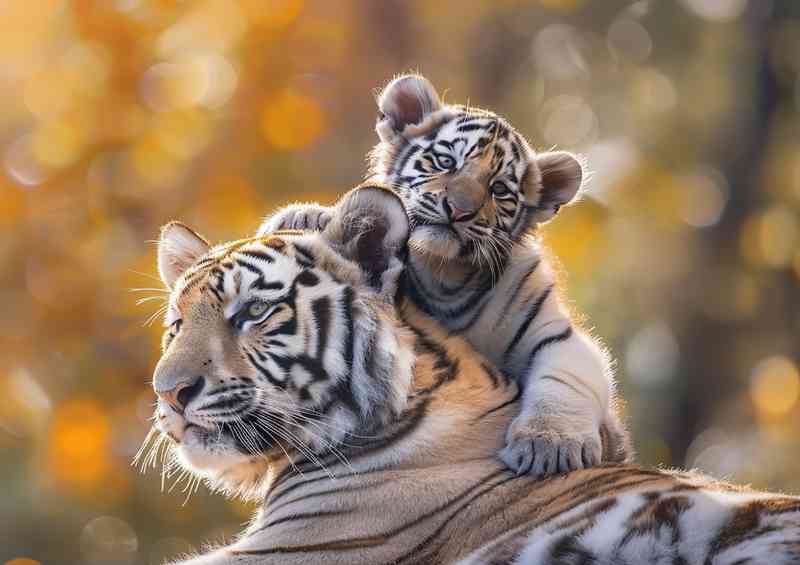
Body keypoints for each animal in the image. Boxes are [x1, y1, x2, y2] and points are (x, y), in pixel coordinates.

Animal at [259, 74, 628, 477]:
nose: (459, 209)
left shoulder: (558, 336)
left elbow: (565, 379)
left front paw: (549, 444)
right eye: (445, 161)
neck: (443, 276)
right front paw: (303, 217)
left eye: (499, 189)